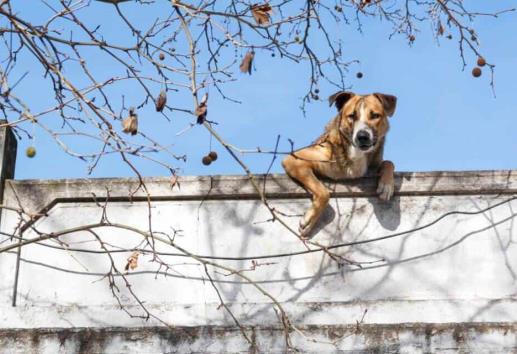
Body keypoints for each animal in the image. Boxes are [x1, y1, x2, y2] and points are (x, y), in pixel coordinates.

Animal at [280, 92, 398, 238]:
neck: (354, 154)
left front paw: (386, 185)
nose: (362, 136)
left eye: (375, 115)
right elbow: (323, 192)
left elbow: (388, 162)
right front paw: (309, 220)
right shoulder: (295, 159)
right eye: (352, 116)